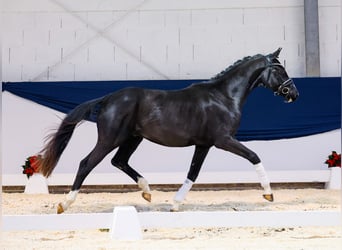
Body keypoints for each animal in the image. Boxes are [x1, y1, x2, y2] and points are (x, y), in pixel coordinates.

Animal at [38, 48, 298, 213]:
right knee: (86, 163)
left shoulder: (204, 144)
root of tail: (109, 97)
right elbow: (254, 156)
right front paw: (268, 194)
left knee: (119, 161)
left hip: (132, 139)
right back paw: (64, 204)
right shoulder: (223, 140)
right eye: (279, 70)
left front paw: (174, 204)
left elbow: (193, 173)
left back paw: (147, 191)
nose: (294, 94)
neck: (223, 96)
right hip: (110, 139)